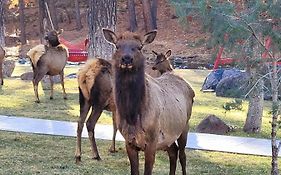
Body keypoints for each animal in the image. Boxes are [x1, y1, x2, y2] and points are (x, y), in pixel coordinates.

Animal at [103, 29, 195, 175]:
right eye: (117, 46)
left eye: (140, 47)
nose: (127, 58)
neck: (133, 117)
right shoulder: (129, 142)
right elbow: (134, 171)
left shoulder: (152, 141)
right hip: (167, 137)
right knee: (173, 151)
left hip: (184, 126)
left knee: (182, 155)